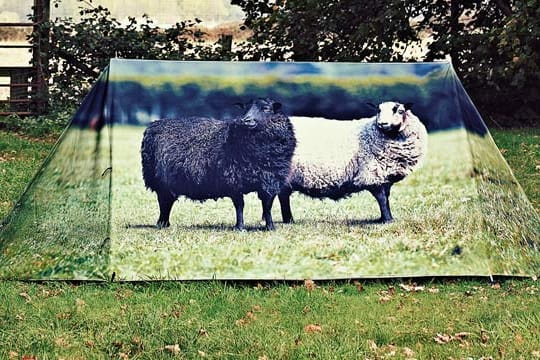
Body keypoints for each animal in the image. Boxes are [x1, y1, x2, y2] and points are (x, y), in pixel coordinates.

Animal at [139, 97, 296, 231]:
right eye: (244, 109)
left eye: (266, 108)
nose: (246, 120)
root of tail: (154, 124)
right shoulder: (234, 180)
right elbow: (240, 205)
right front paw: (240, 227)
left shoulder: (270, 181)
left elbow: (267, 206)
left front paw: (270, 227)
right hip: (159, 180)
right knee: (164, 202)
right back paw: (162, 223)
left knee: (167, 201)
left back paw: (164, 223)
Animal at [278, 101, 426, 224]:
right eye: (378, 110)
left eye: (400, 111)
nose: (383, 123)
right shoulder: (372, 173)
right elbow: (382, 198)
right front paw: (388, 220)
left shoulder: (385, 175)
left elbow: (386, 197)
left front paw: (384, 218)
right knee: (283, 197)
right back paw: (289, 221)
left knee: (283, 196)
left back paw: (289, 220)